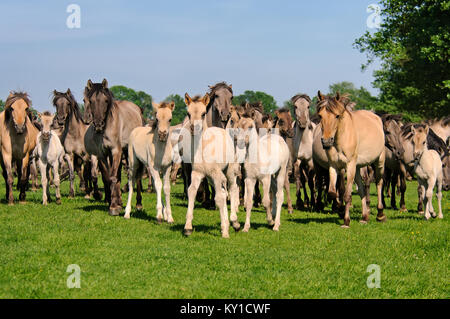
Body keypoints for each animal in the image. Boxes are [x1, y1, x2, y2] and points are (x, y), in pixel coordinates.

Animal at [82, 79, 142, 216]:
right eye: (90, 101)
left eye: (105, 100)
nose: (98, 124)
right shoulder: (102, 154)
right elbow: (107, 177)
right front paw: (113, 202)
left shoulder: (116, 151)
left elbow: (113, 176)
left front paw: (114, 207)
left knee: (136, 176)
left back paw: (138, 204)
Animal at [316, 91, 386, 229]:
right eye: (320, 116)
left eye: (337, 116)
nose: (326, 141)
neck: (341, 137)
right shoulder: (333, 166)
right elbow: (332, 192)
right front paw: (340, 209)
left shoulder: (349, 165)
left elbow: (347, 195)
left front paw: (346, 221)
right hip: (358, 168)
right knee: (362, 189)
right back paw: (364, 217)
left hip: (378, 162)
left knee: (379, 183)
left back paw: (380, 214)